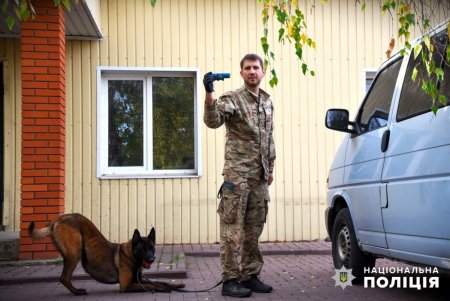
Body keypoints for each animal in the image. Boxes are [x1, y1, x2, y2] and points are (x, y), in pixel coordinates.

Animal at [28, 212, 185, 294]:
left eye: (152, 248)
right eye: (142, 249)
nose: (152, 259)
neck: (131, 256)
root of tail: (60, 217)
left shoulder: (138, 279)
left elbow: (160, 281)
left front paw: (176, 285)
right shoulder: (126, 286)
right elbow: (153, 285)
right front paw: (164, 289)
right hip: (74, 252)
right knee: (64, 278)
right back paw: (77, 292)